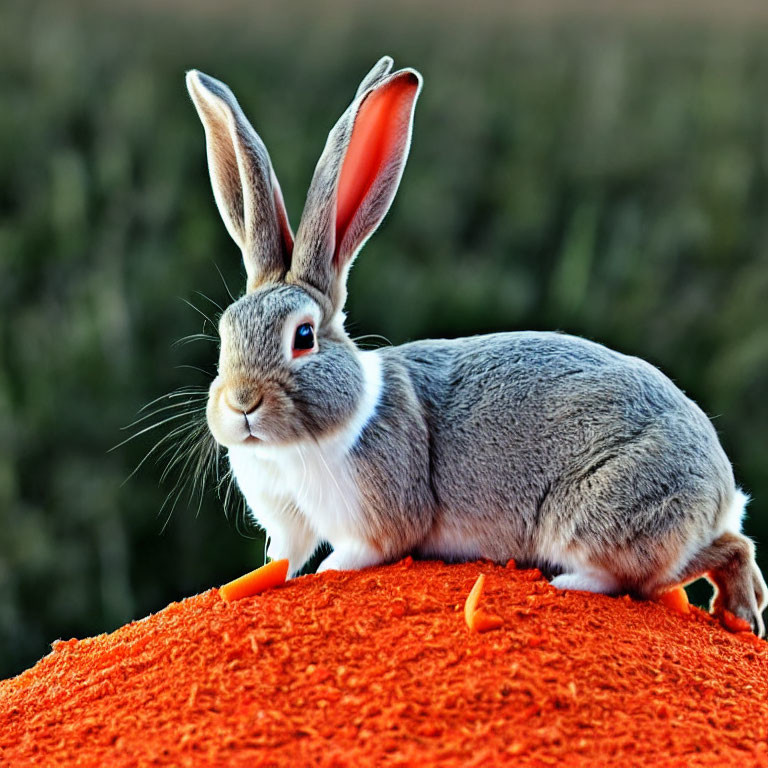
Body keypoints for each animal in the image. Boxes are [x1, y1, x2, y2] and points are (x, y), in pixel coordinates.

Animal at [186, 52, 768, 632]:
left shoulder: (377, 516)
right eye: (225, 331)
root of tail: (720, 486)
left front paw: (330, 569)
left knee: (649, 571)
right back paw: (740, 612)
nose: (242, 403)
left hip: (601, 516)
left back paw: (578, 584)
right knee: (723, 551)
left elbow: (361, 552)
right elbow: (283, 557)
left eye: (303, 337)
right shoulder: (288, 524)